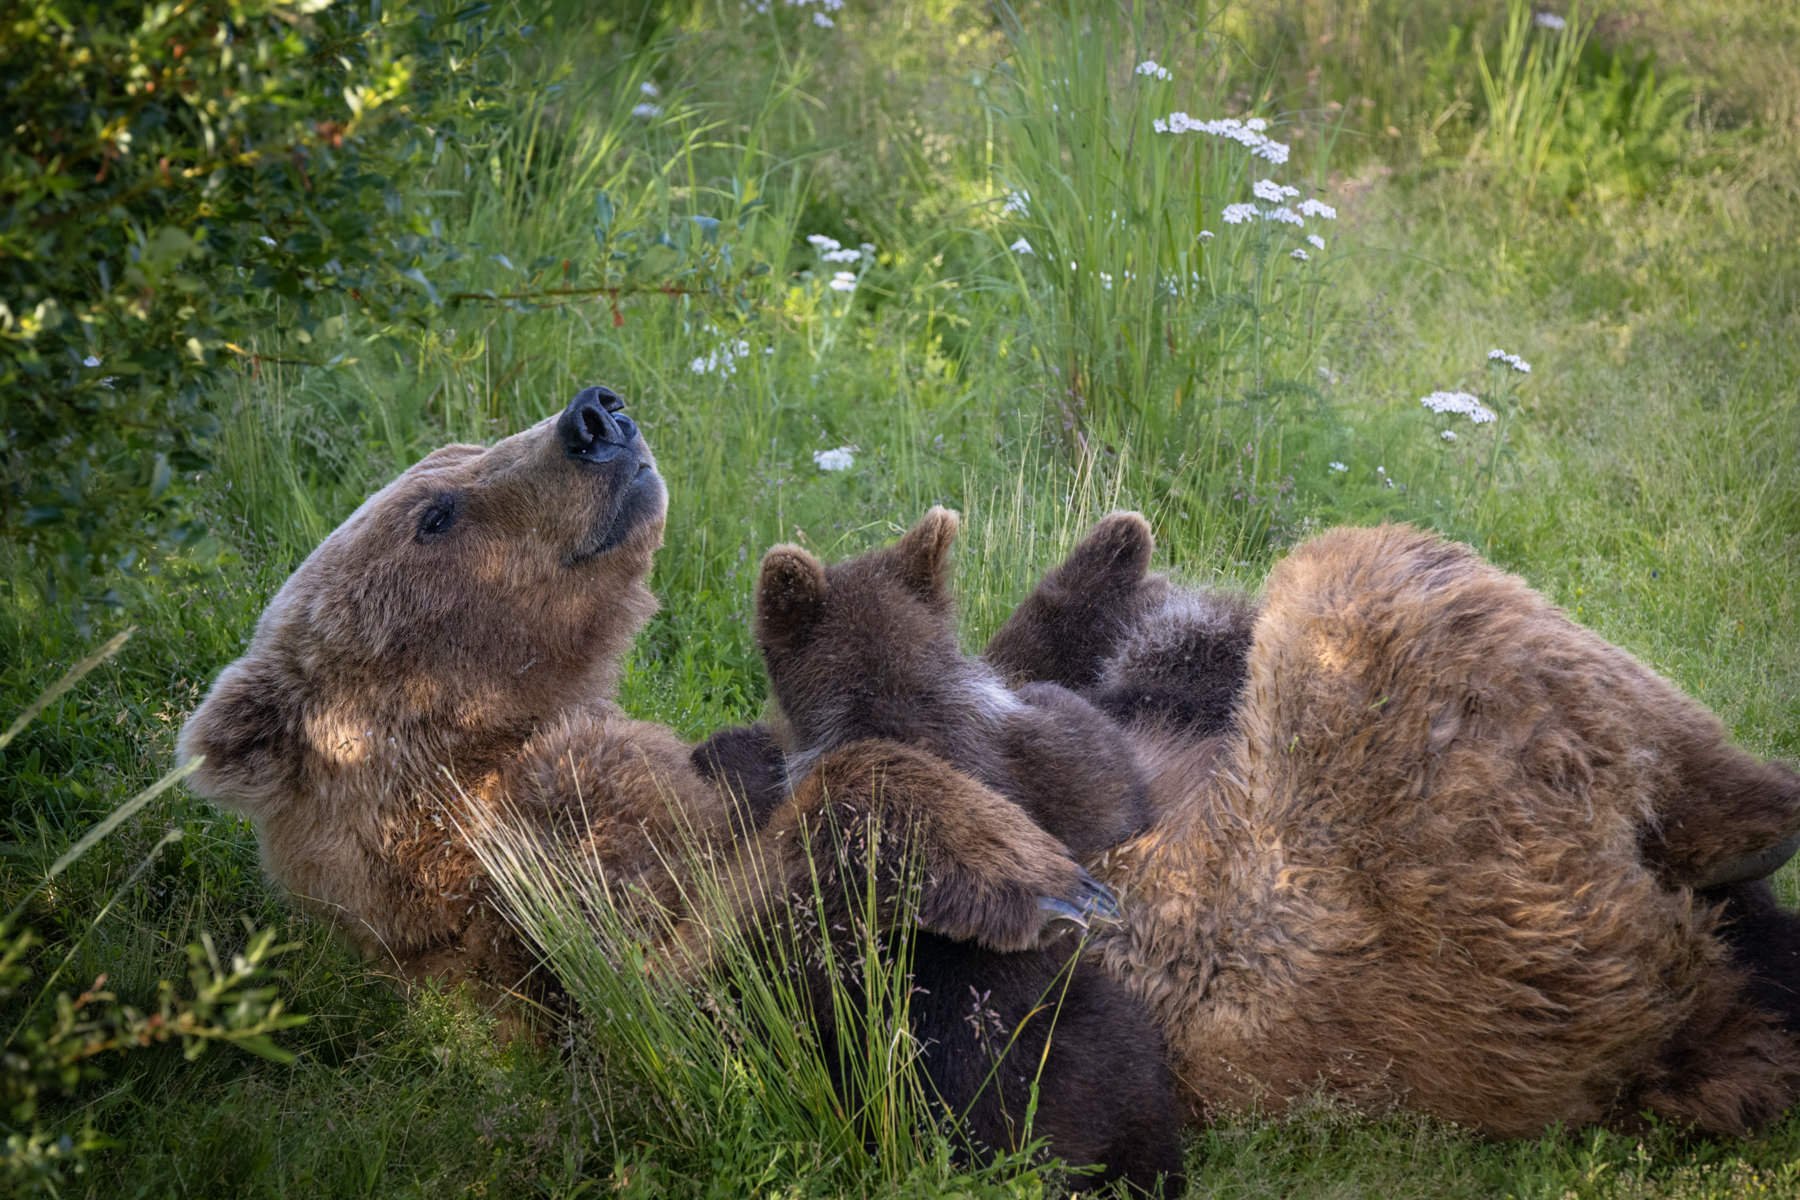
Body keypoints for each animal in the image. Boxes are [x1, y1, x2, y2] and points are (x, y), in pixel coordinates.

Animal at [179, 390, 1800, 1144]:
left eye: (445, 464)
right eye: (434, 511)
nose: (597, 413)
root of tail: (1669, 1019)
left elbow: (1068, 664)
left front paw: (1107, 557)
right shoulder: (616, 946)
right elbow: (749, 944)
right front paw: (1029, 878)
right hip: (1427, 852)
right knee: (1376, 579)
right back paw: (1759, 813)